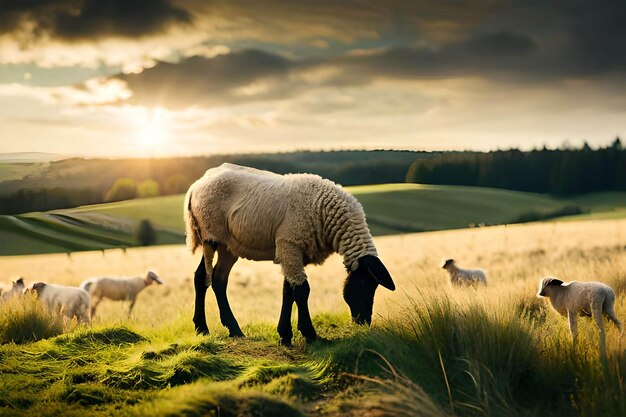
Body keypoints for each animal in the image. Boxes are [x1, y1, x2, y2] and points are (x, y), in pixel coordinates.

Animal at [183, 162, 394, 344]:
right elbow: (301, 291)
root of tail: (197, 184)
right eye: (364, 284)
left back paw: (233, 330)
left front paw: (285, 335)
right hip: (211, 233)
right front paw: (310, 335)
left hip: (229, 244)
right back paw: (203, 328)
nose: (363, 323)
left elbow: (288, 291)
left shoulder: (294, 250)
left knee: (218, 279)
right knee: (203, 277)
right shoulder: (290, 244)